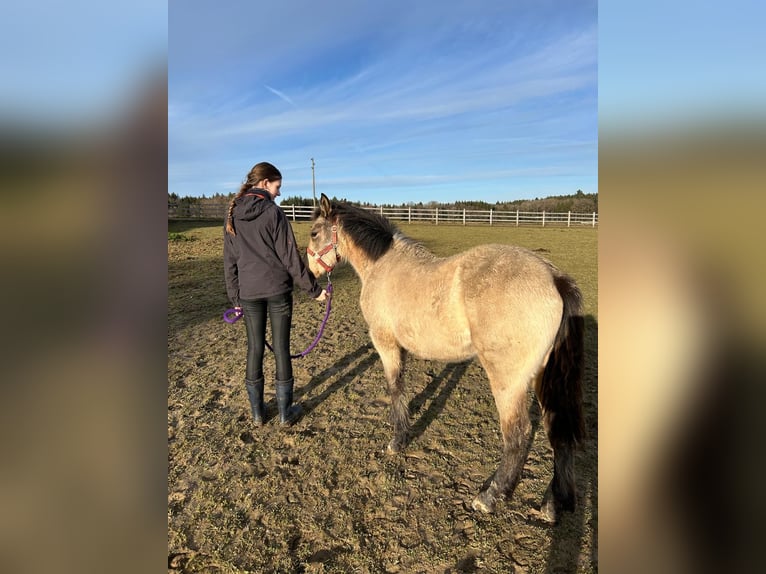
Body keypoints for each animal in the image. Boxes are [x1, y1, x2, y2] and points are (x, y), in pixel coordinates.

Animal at [306, 195, 584, 520]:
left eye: (314, 233)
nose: (310, 275)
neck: (382, 265)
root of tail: (553, 277)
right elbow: (402, 388)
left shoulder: (385, 343)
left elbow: (394, 387)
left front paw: (397, 440)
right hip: (545, 378)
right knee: (557, 428)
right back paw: (553, 503)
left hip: (508, 382)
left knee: (517, 435)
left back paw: (489, 497)